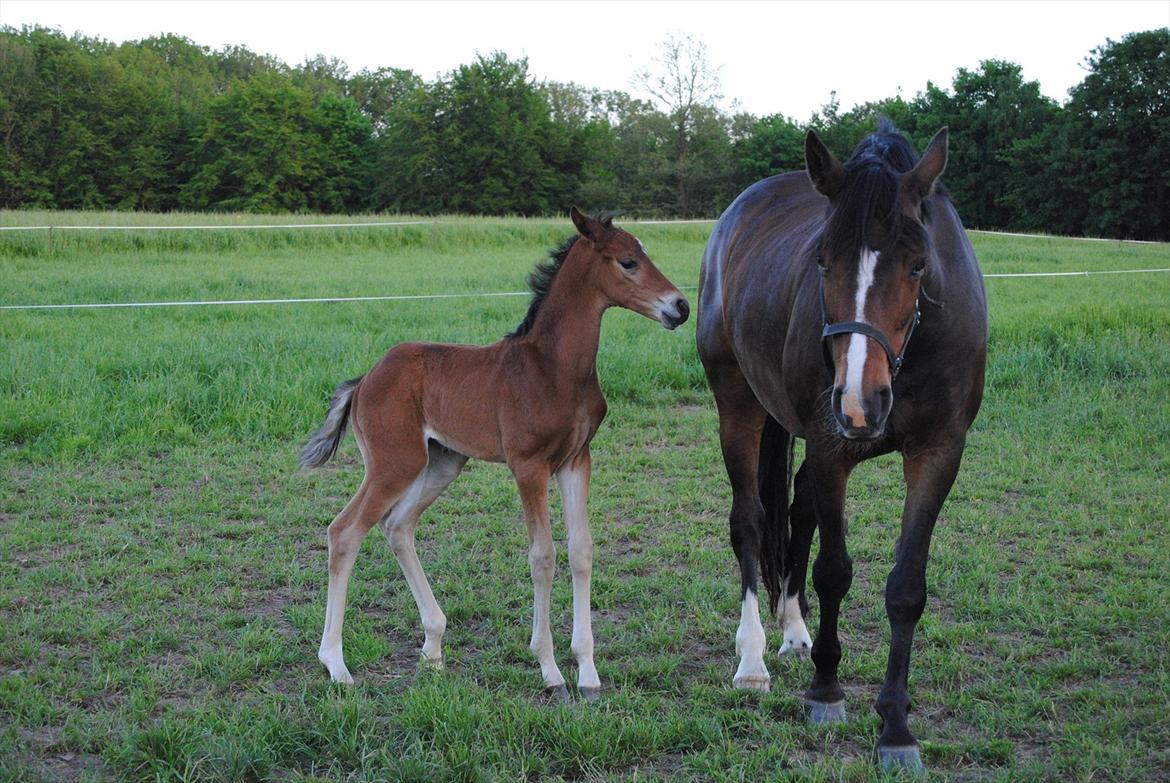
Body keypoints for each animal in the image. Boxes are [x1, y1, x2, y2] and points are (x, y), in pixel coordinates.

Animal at [299, 205, 692, 697]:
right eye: (628, 262)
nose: (680, 307)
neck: (554, 368)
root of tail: (366, 378)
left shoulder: (576, 461)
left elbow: (581, 552)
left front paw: (588, 673)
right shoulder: (528, 466)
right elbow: (542, 557)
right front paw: (550, 669)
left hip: (441, 463)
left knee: (398, 527)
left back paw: (433, 646)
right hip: (395, 464)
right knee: (345, 531)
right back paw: (336, 663)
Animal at [692, 119, 987, 767]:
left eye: (918, 266)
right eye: (823, 261)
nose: (857, 401)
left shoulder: (938, 454)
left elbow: (906, 588)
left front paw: (896, 725)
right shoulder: (832, 450)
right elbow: (833, 571)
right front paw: (826, 691)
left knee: (797, 510)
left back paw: (795, 630)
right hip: (739, 405)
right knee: (749, 522)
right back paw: (753, 659)